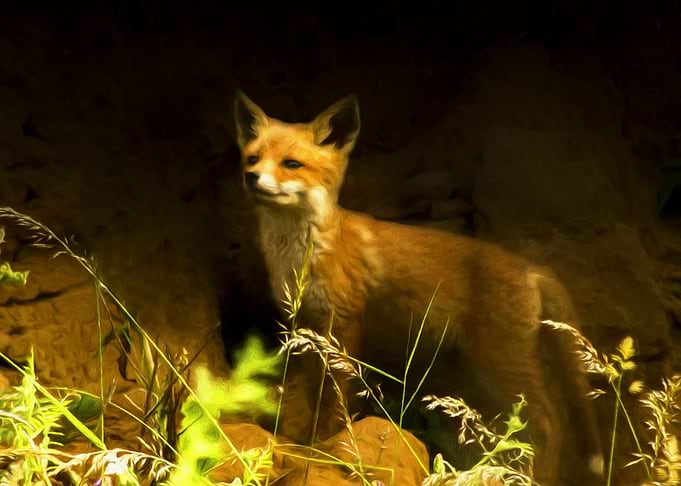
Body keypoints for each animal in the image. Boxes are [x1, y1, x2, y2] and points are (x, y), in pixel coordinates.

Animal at [232, 91, 603, 484]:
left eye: (291, 163)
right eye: (253, 158)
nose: (251, 177)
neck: (303, 253)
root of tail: (530, 266)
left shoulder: (342, 325)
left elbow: (334, 400)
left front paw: (326, 443)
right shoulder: (304, 326)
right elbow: (303, 397)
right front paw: (296, 440)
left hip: (502, 362)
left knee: (550, 423)